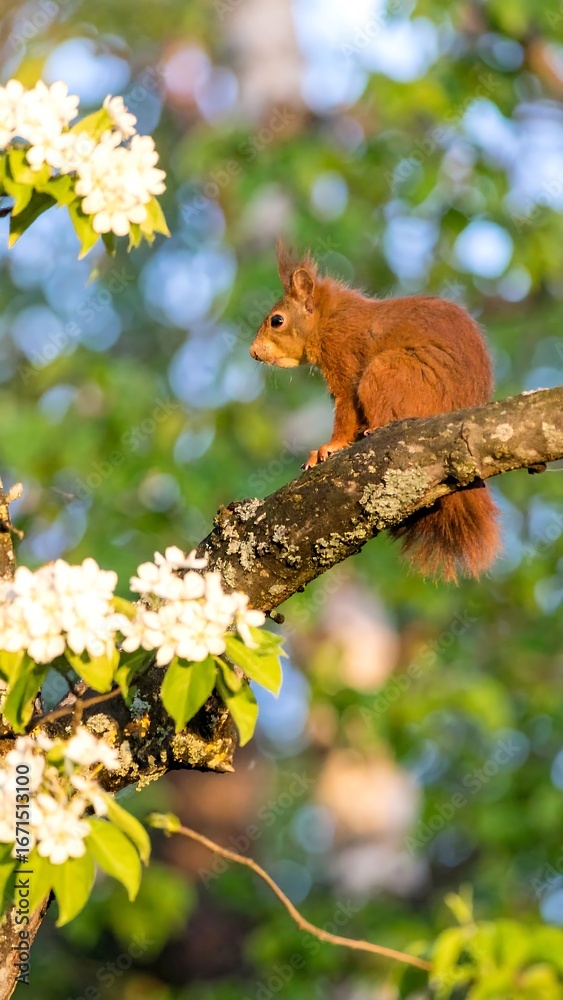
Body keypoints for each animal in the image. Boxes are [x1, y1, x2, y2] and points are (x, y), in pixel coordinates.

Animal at [249, 243, 501, 583]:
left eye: (277, 320)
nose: (253, 352)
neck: (330, 318)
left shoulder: (344, 363)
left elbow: (346, 413)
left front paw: (327, 448)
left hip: (390, 373)